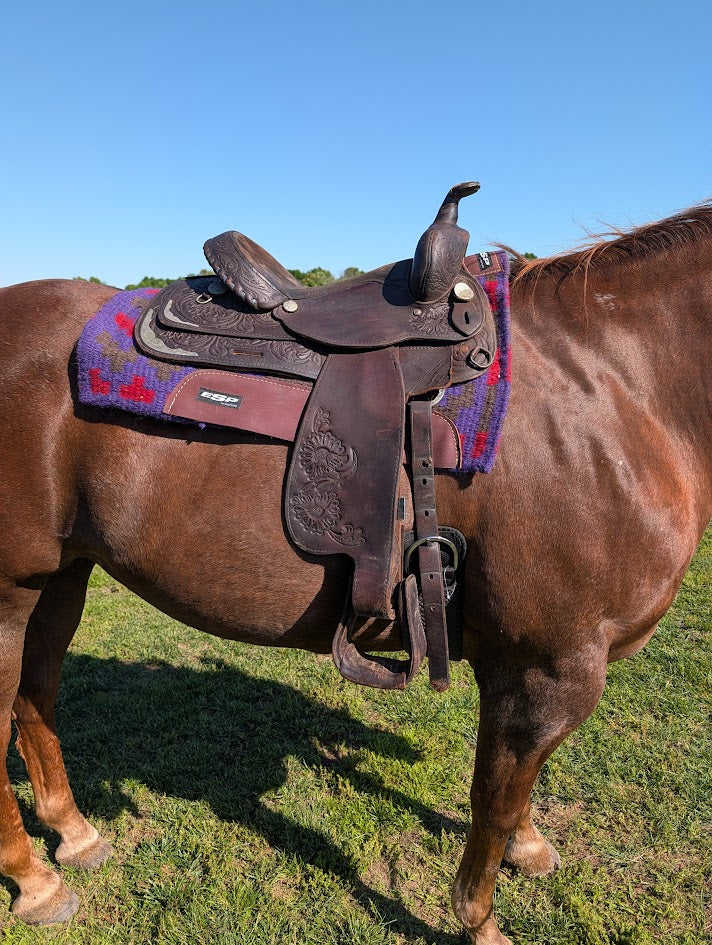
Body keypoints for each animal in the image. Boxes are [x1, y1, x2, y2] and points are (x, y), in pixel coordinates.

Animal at [0, 202, 710, 945]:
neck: (616, 387)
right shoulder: (554, 664)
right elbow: (495, 792)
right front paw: (479, 919)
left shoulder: (520, 661)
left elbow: (512, 782)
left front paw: (527, 846)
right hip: (10, 590)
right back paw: (36, 883)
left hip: (61, 579)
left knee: (35, 695)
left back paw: (74, 835)